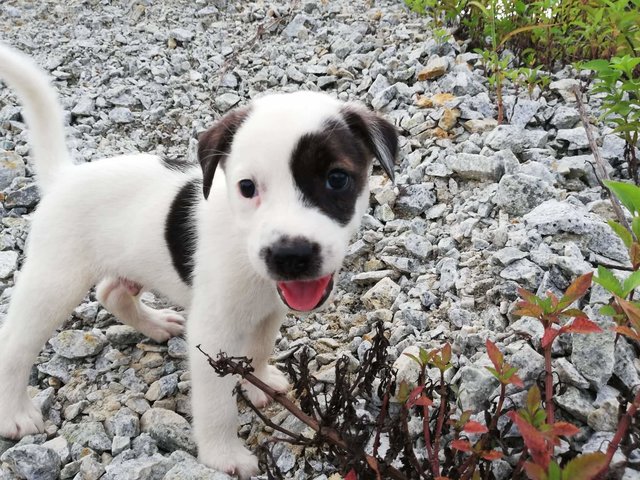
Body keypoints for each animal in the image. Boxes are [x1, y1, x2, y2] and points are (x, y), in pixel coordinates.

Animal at [0, 43, 396, 478]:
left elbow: (260, 347)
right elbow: (216, 404)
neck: (244, 249)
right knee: (16, 344)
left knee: (111, 292)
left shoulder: (269, 311)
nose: (290, 256)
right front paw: (224, 455)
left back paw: (155, 324)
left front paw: (258, 381)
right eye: (247, 187)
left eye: (337, 179)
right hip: (55, 280)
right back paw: (14, 412)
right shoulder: (213, 332)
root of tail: (63, 178)